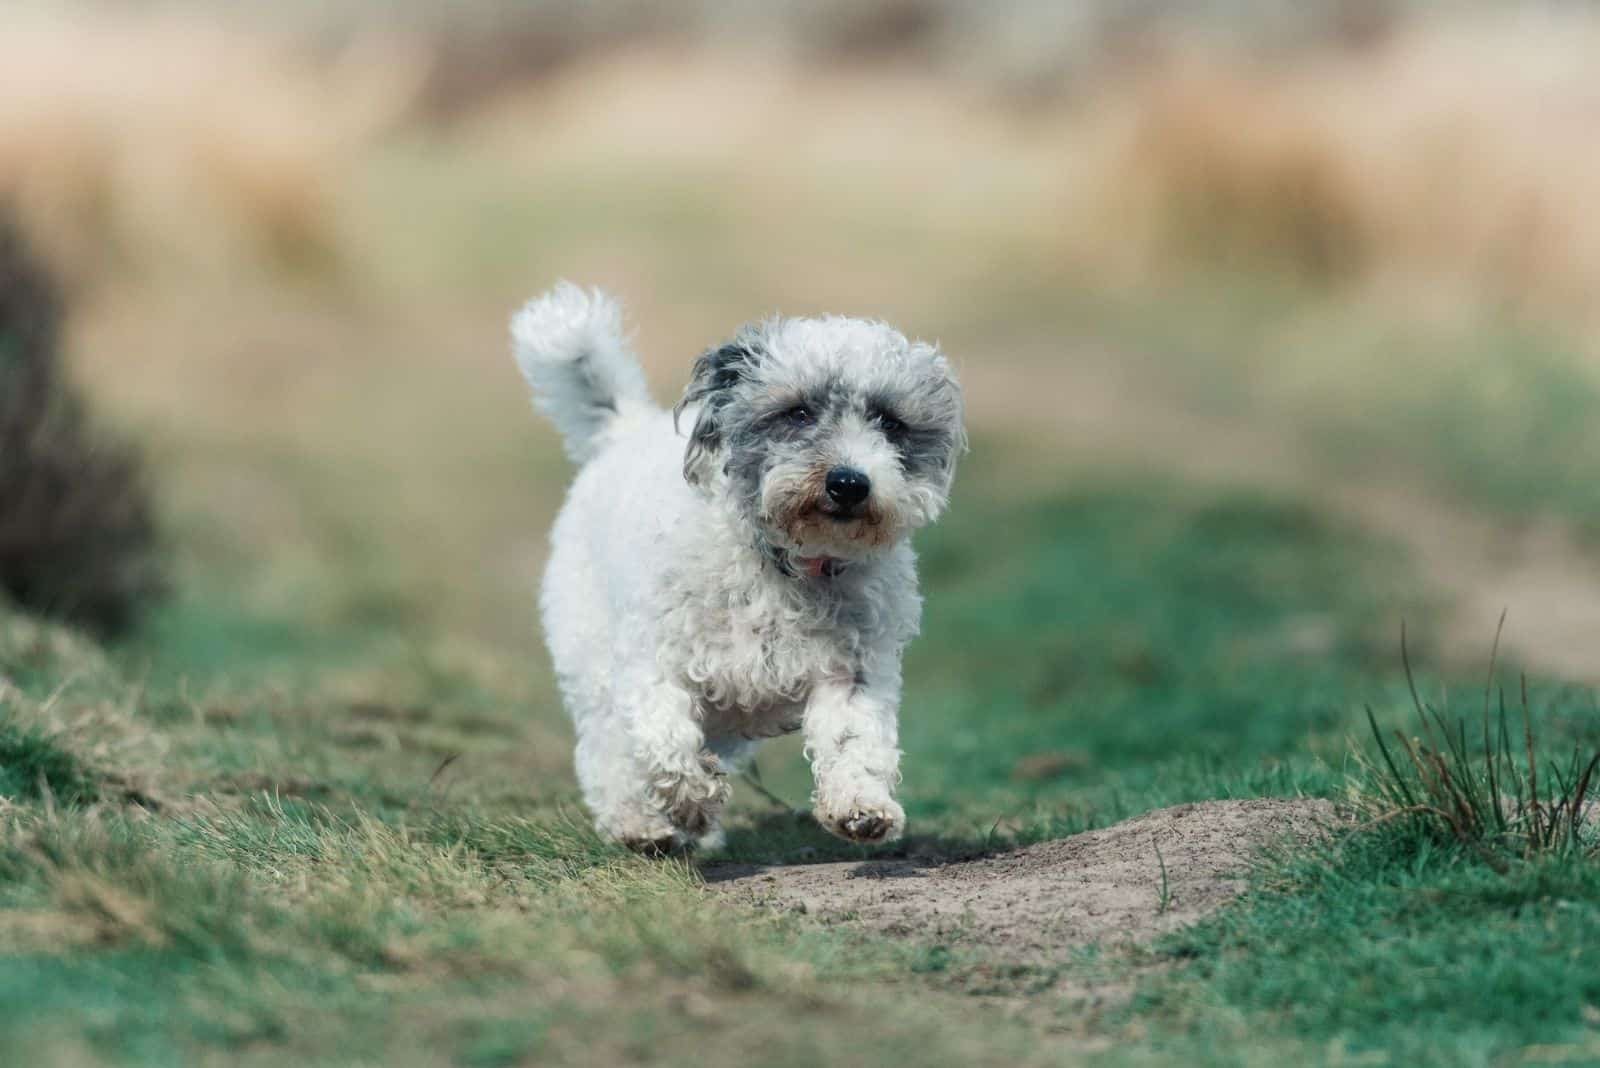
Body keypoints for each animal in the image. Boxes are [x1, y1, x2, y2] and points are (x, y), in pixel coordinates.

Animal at [508, 281, 960, 850]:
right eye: (798, 413)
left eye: (890, 422)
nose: (849, 482)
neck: (783, 567)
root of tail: (624, 429)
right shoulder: (654, 662)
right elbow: (665, 736)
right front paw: (693, 801)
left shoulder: (853, 671)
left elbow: (855, 740)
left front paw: (861, 806)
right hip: (592, 661)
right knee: (606, 750)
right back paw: (640, 824)